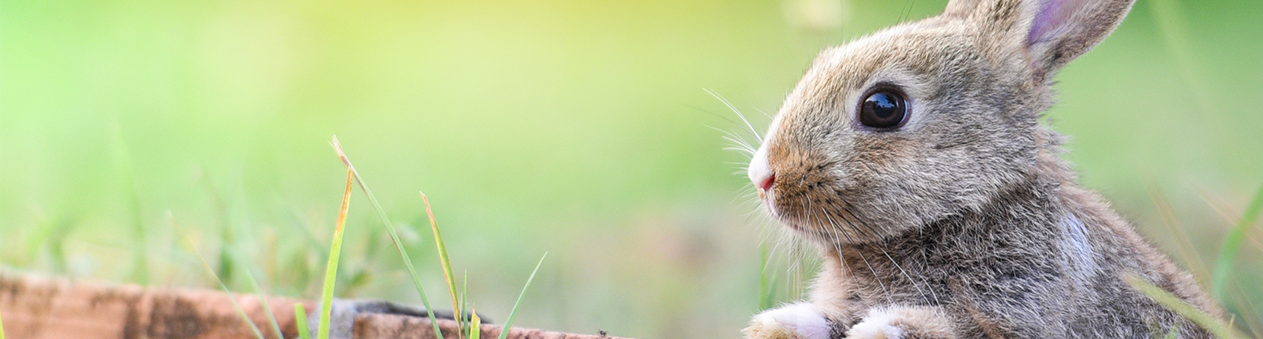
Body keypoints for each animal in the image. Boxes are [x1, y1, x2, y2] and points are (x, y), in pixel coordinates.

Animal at [737, 0, 1222, 336]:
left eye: (883, 106)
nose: (762, 176)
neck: (966, 209)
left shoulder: (1023, 307)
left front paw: (887, 327)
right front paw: (784, 323)